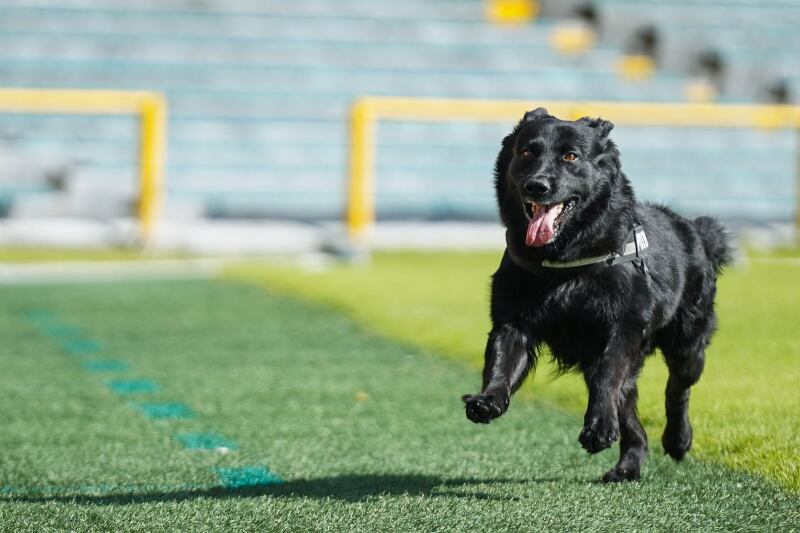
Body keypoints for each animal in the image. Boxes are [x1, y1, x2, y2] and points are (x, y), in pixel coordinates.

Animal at [462, 109, 732, 482]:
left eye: (571, 157)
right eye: (527, 153)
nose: (537, 186)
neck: (564, 263)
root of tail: (694, 230)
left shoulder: (621, 330)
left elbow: (609, 378)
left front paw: (599, 428)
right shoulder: (513, 321)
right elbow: (502, 363)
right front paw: (489, 400)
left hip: (688, 346)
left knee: (676, 389)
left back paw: (677, 440)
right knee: (631, 416)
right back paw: (629, 465)